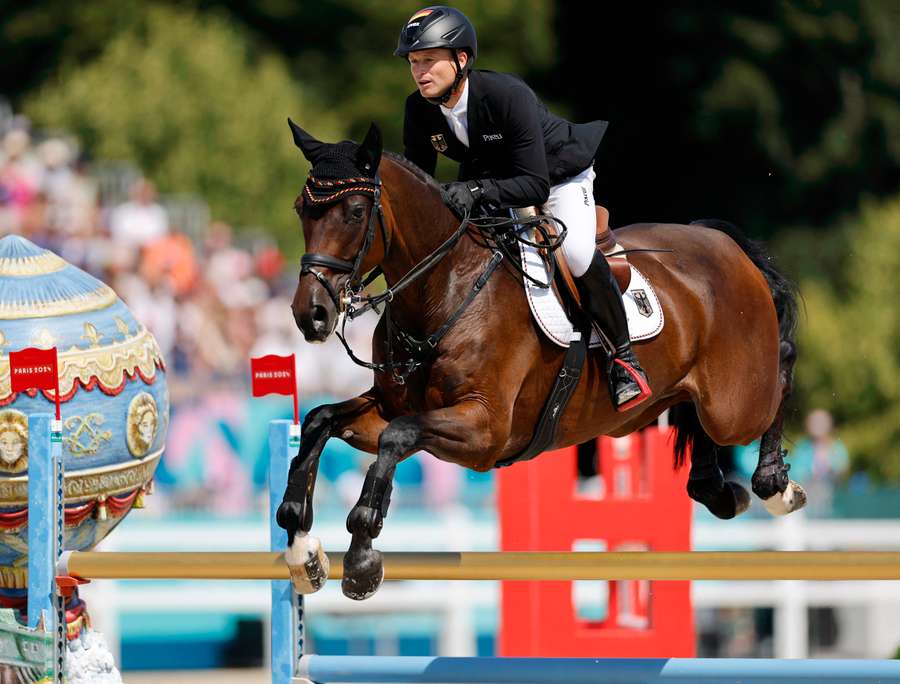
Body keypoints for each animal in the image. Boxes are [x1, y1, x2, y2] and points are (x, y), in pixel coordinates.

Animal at [278, 121, 804, 600]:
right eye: (302, 209)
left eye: (354, 212)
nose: (311, 315)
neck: (443, 289)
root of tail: (723, 243)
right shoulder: (393, 407)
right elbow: (322, 420)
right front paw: (302, 544)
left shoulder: (484, 430)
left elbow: (397, 437)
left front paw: (362, 558)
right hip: (685, 396)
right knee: (700, 420)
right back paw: (716, 488)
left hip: (736, 403)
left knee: (780, 365)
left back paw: (776, 485)